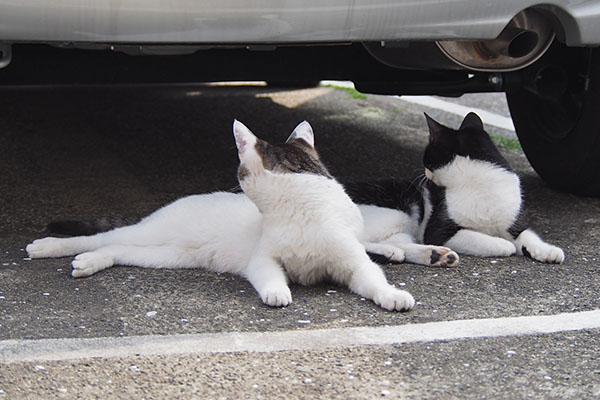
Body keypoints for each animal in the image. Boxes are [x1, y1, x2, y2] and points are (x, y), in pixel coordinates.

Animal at [27, 120, 418, 310]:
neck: (303, 208)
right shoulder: (263, 260)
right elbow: (270, 275)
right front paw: (277, 292)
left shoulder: (353, 262)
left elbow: (373, 279)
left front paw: (392, 295)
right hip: (151, 237)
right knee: (99, 237)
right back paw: (46, 247)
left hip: (166, 256)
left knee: (116, 250)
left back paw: (89, 263)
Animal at [344, 111, 564, 264]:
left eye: (427, 159)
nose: (425, 174)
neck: (479, 184)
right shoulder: (439, 230)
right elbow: (486, 240)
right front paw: (503, 244)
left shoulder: (514, 221)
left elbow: (527, 235)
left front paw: (547, 250)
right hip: (397, 214)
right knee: (353, 242)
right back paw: (393, 252)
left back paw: (433, 255)